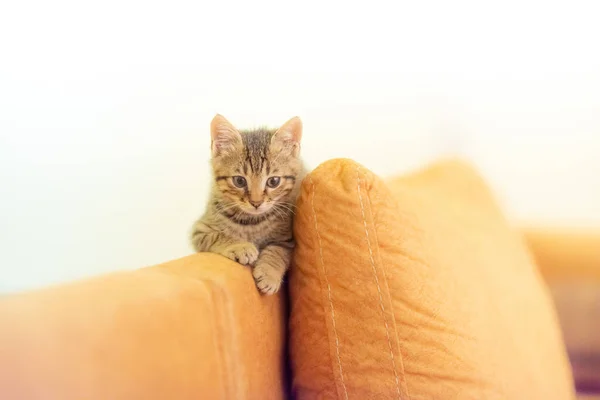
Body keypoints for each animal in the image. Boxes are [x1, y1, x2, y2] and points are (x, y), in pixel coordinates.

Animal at [191, 114, 308, 296]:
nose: (256, 202)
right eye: (239, 181)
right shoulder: (200, 231)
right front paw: (240, 246)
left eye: (273, 181)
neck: (252, 222)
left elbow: (277, 251)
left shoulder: (287, 239)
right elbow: (218, 235)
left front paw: (268, 274)